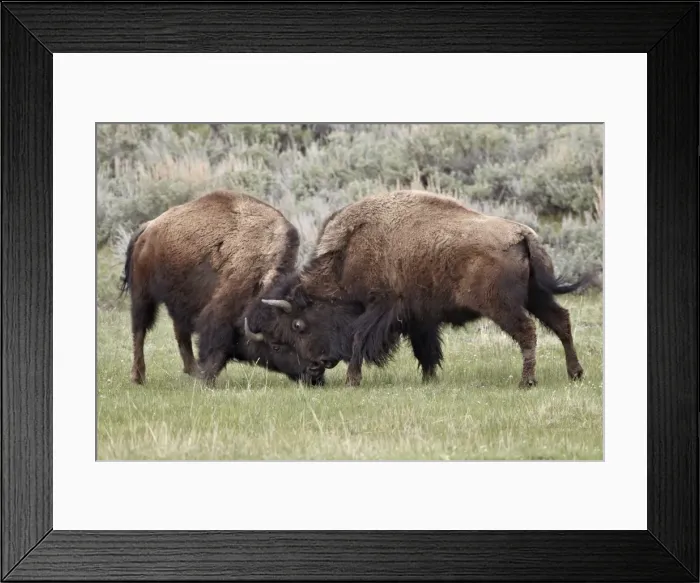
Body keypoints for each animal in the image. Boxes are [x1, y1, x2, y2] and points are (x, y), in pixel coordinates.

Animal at [119, 190, 325, 387]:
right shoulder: (221, 309)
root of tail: (148, 227)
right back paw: (139, 377)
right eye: (276, 345)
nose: (315, 372)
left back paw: (191, 370)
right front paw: (207, 379)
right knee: (140, 330)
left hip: (176, 300)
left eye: (304, 330)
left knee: (180, 332)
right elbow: (215, 344)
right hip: (143, 295)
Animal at [243, 190, 595, 388]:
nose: (317, 364)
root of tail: (523, 234)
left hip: (503, 306)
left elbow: (358, 339)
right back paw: (575, 374)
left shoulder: (381, 308)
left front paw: (352, 380)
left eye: (298, 325)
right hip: (537, 296)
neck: (348, 255)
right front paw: (429, 379)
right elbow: (425, 350)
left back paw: (528, 381)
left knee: (528, 332)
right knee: (561, 322)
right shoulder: (419, 317)